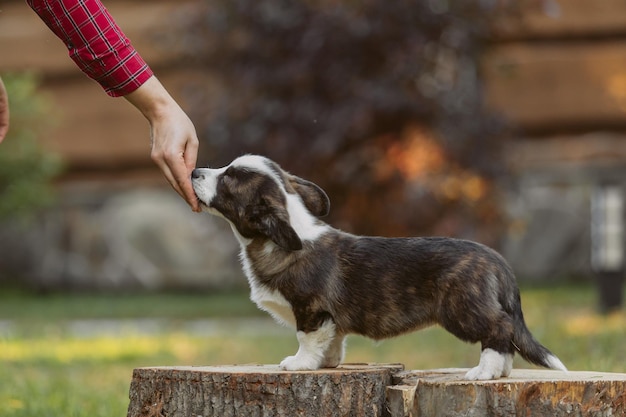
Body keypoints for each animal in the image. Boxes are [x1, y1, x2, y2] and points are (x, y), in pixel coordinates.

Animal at [191, 154, 564, 378]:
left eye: (229, 179)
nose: (194, 171)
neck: (280, 239)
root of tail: (498, 261)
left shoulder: (310, 310)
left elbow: (307, 339)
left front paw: (300, 364)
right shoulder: (329, 319)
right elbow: (334, 341)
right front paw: (328, 363)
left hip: (463, 309)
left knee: (500, 328)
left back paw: (484, 371)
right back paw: (500, 372)